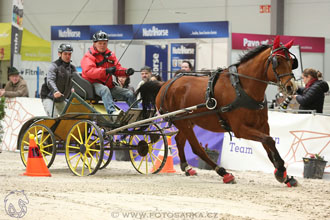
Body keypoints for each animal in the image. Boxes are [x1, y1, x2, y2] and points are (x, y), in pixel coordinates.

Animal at [138, 35, 298, 186]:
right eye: (277, 61)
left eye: (292, 62)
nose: (291, 87)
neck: (243, 88)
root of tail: (165, 84)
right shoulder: (240, 129)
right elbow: (269, 141)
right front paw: (281, 170)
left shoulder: (262, 125)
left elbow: (269, 146)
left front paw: (285, 176)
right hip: (182, 122)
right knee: (197, 148)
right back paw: (224, 173)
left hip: (188, 120)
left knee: (179, 140)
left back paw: (187, 168)